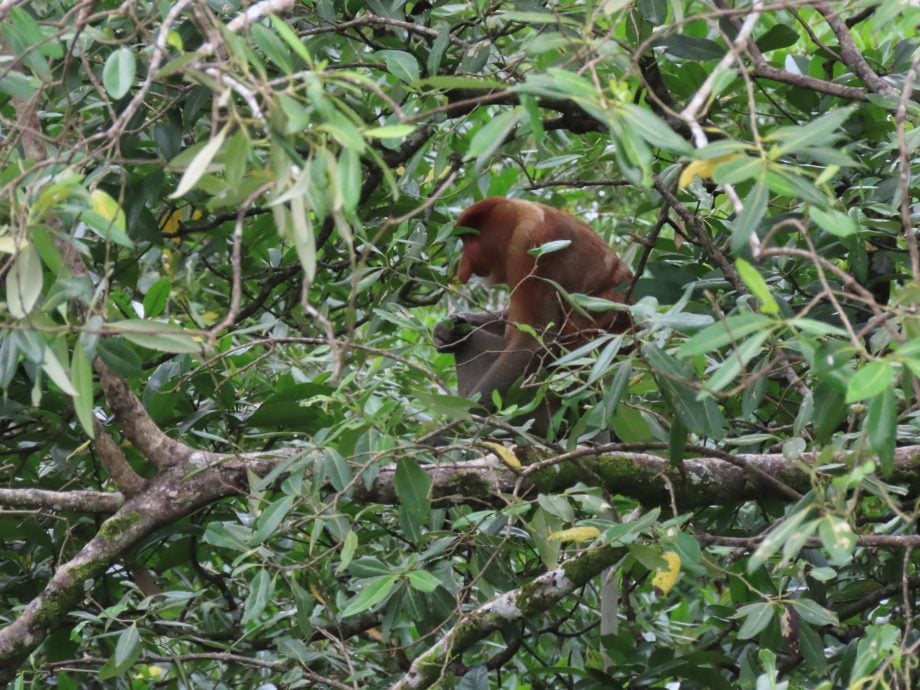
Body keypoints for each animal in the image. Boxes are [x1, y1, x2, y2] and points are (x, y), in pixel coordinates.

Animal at [434, 199, 628, 414]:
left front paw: (468, 417)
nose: (462, 269)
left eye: (470, 239)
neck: (520, 216)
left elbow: (531, 342)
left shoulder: (532, 245)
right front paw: (446, 330)